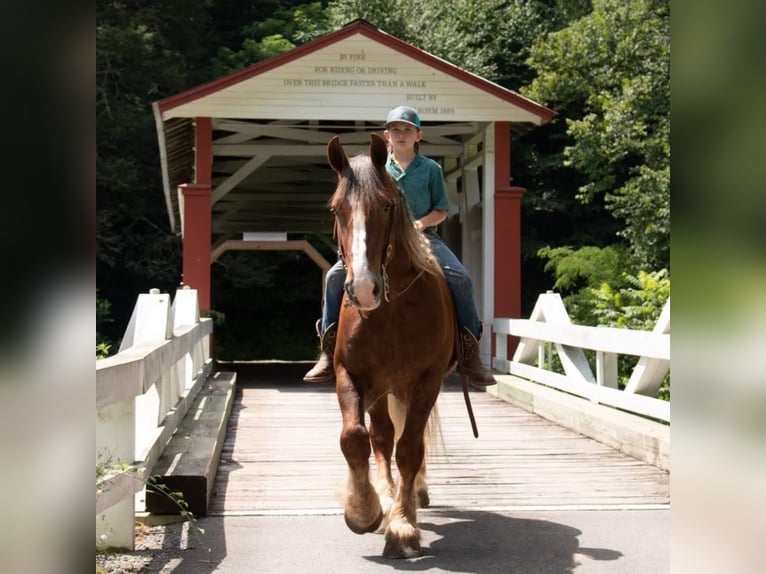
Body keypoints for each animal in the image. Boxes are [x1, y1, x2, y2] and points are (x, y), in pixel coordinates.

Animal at [328, 134, 460, 560]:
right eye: (336, 208)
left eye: (386, 206)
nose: (363, 289)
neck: (390, 309)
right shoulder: (350, 375)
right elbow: (356, 438)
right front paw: (364, 511)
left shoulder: (427, 382)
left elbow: (410, 450)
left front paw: (403, 527)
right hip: (382, 390)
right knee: (382, 437)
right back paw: (386, 497)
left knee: (406, 443)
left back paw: (411, 496)